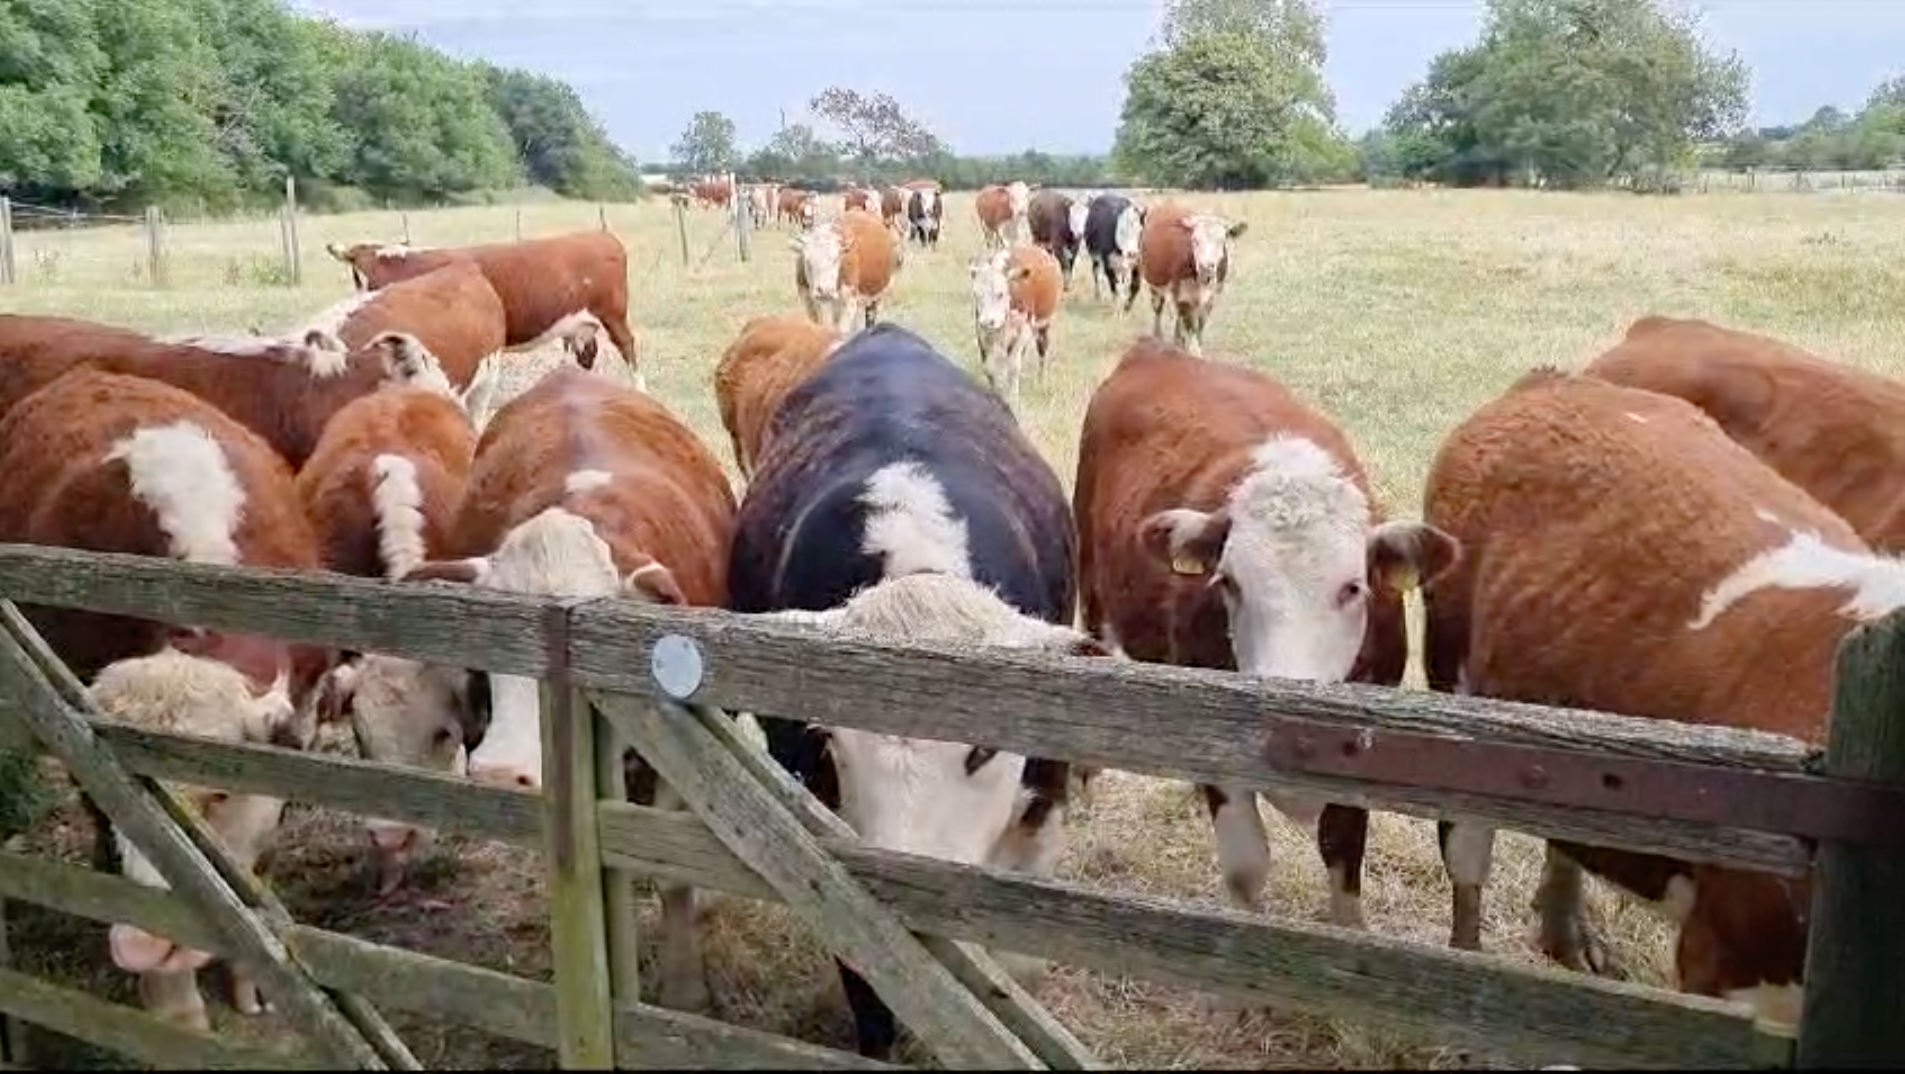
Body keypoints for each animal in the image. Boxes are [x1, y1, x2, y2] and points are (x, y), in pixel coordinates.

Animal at [321, 230, 644, 390]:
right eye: (357, 276)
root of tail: (601, 235)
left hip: (613, 315)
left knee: (628, 348)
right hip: (580, 326)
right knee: (586, 355)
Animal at [967, 244, 1062, 414]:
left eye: (1000, 294)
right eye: (977, 294)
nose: (988, 321)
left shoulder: (1024, 330)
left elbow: (1013, 367)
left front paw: (1012, 399)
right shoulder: (982, 332)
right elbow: (989, 367)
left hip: (1043, 326)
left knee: (1042, 349)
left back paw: (1041, 381)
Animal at [1073, 336, 1459, 933]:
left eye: (1353, 587)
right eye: (1229, 582)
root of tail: (1155, 351)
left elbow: (1343, 857)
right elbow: (1246, 868)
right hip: (1091, 587)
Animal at [1136, 202, 1247, 357]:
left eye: (1221, 241)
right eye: (1195, 240)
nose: (1206, 266)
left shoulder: (1211, 298)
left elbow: (1199, 325)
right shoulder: (1183, 296)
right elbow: (1191, 326)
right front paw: (1193, 352)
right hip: (1155, 285)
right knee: (1158, 308)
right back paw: (1158, 336)